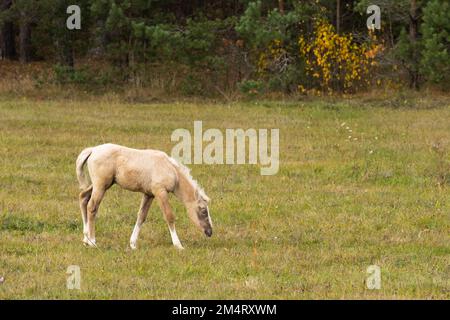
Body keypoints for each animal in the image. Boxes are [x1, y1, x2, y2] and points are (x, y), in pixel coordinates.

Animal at [75, 143, 213, 250]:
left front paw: (133, 244)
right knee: (92, 207)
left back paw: (85, 239)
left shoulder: (149, 194)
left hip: (101, 185)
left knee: (83, 198)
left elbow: (141, 216)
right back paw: (92, 241)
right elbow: (169, 216)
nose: (210, 232)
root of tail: (93, 150)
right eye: (203, 210)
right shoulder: (160, 192)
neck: (171, 169)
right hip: (101, 185)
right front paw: (178, 245)